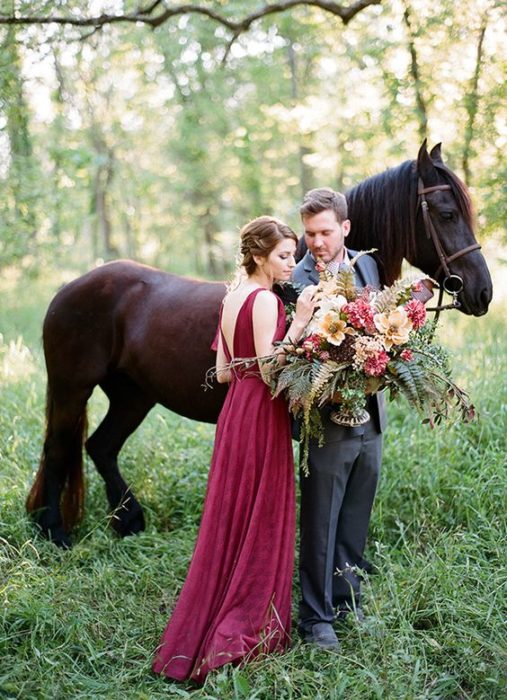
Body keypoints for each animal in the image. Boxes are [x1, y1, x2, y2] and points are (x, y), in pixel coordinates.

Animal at [26, 142, 492, 548]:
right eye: (447, 213)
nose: (483, 291)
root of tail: (69, 288)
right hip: (72, 389)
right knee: (58, 449)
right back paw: (55, 531)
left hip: (132, 395)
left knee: (100, 447)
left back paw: (128, 521)